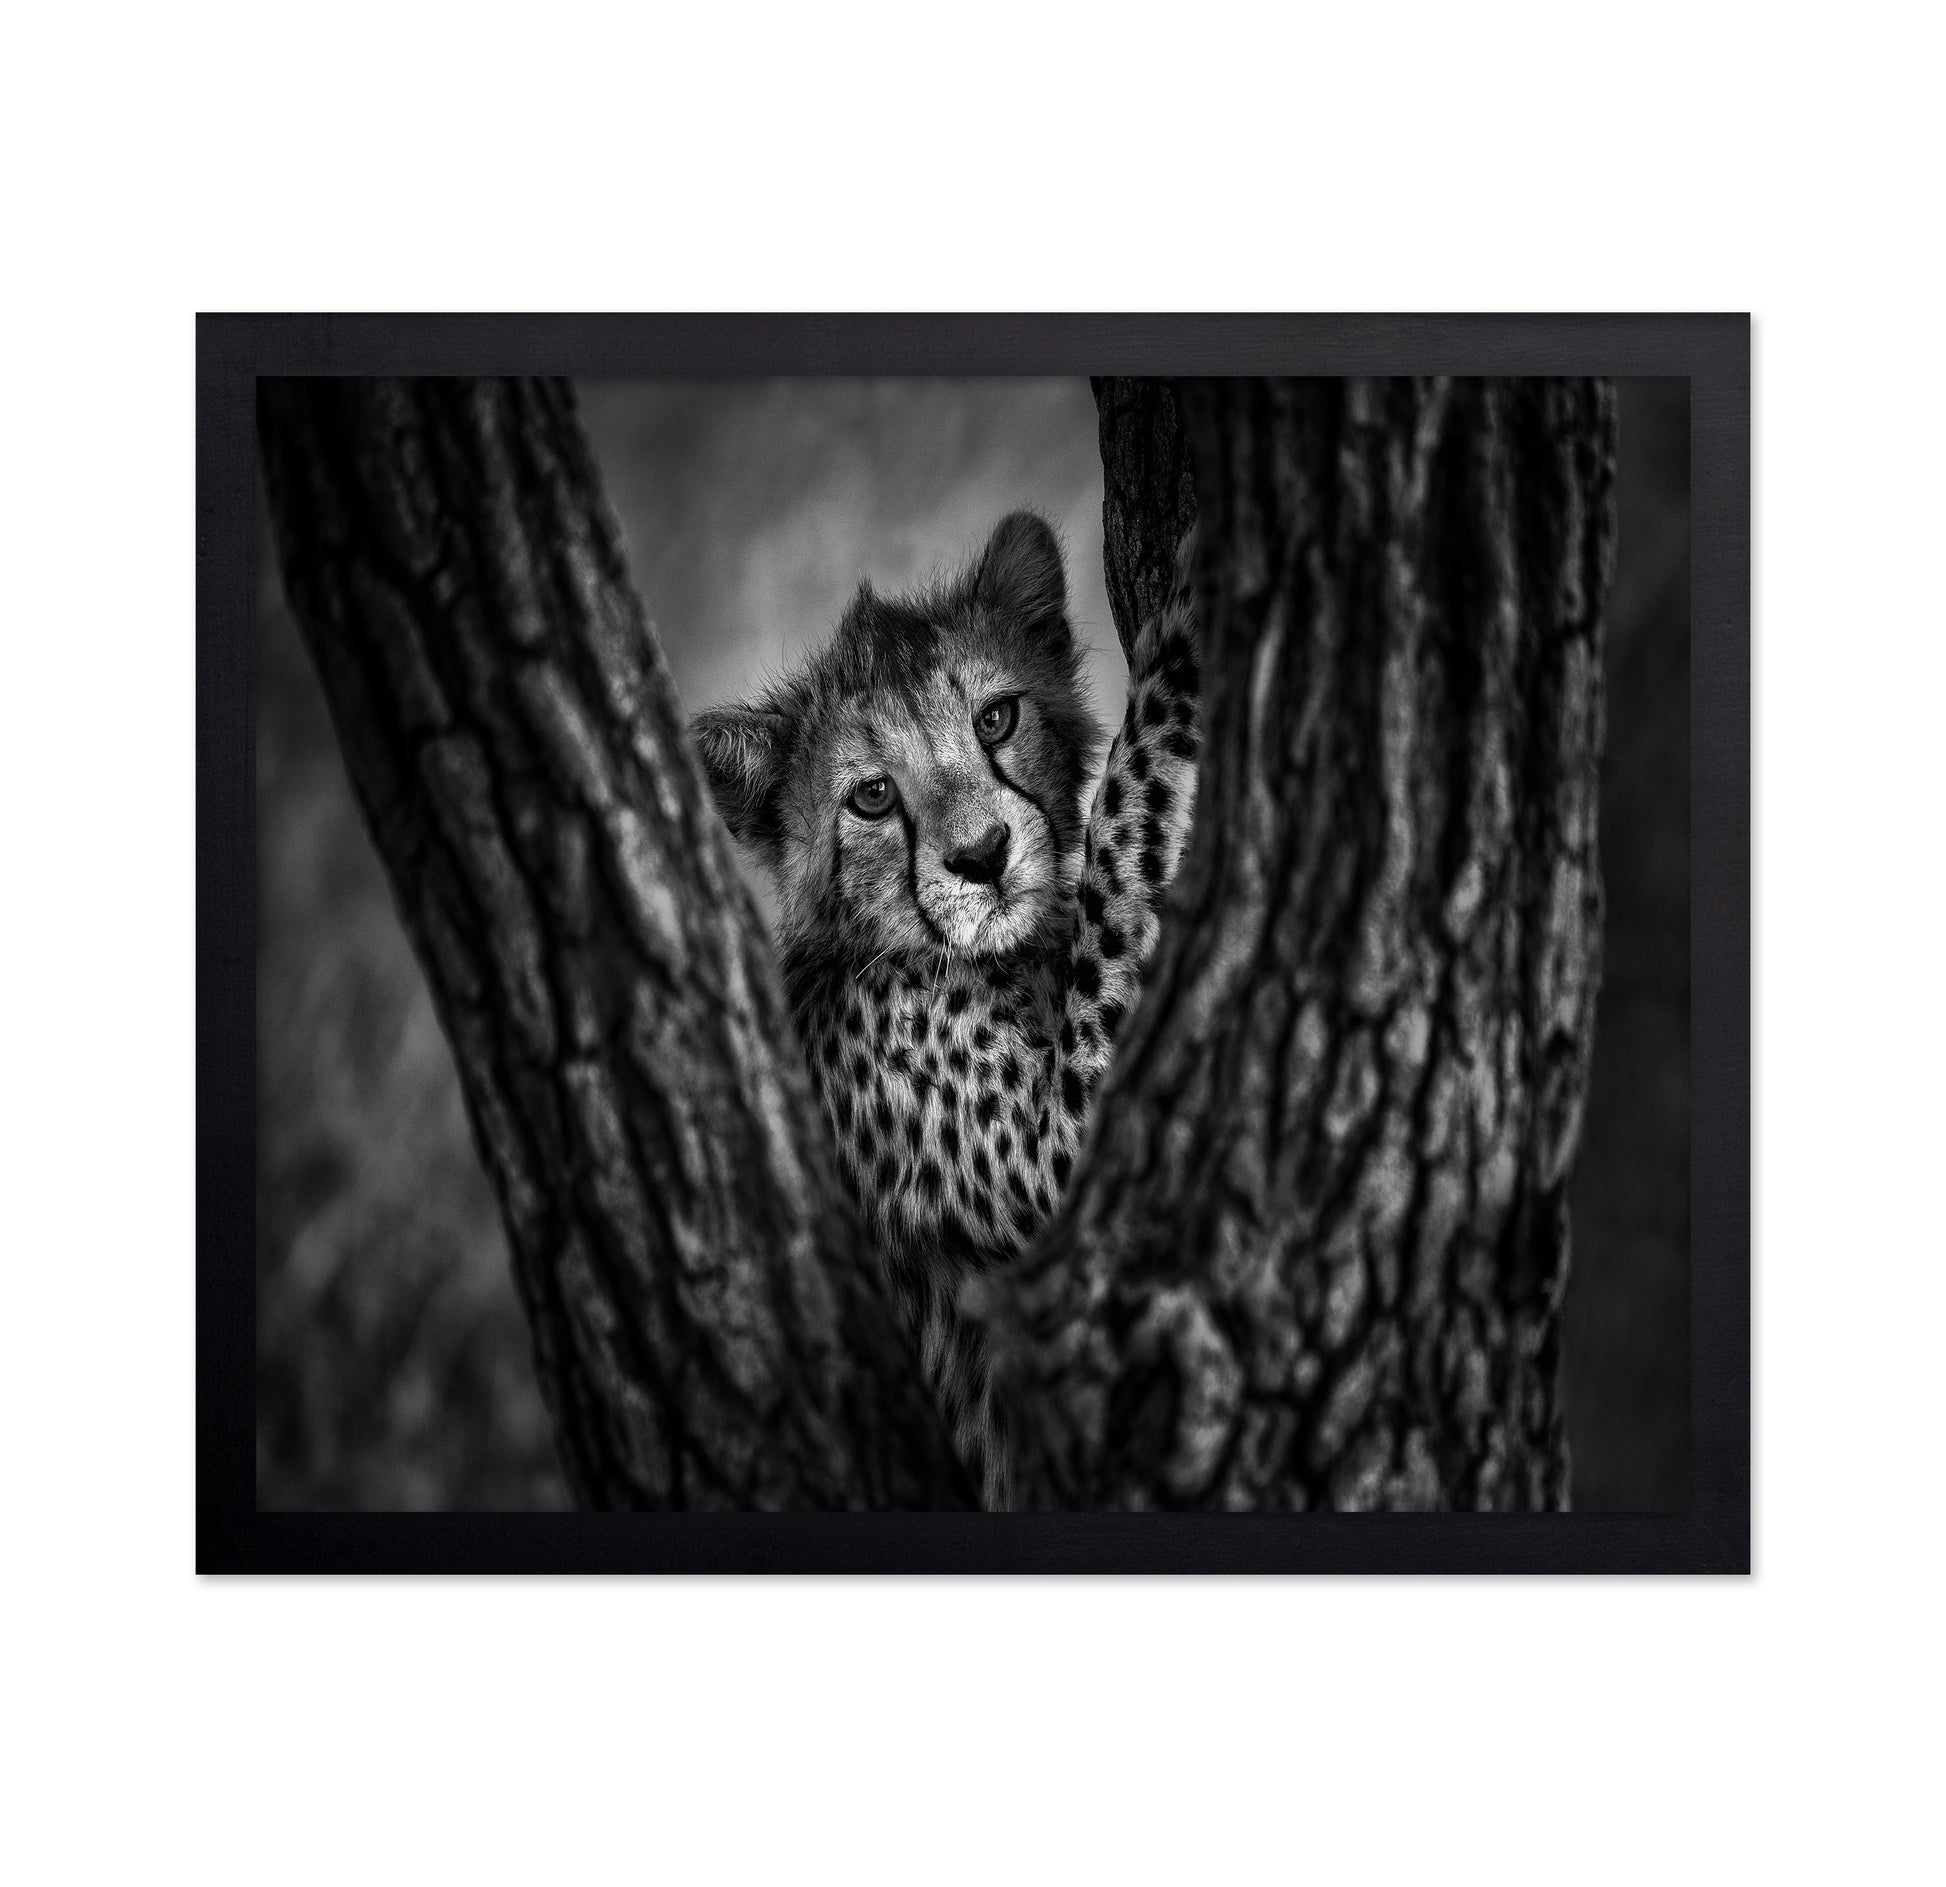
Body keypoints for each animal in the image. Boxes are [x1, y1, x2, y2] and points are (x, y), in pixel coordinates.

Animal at [692, 510, 1200, 1506]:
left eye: (995, 718)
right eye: (872, 795)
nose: (983, 854)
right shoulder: (1063, 1178)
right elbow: (1124, 826)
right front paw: (1184, 645)